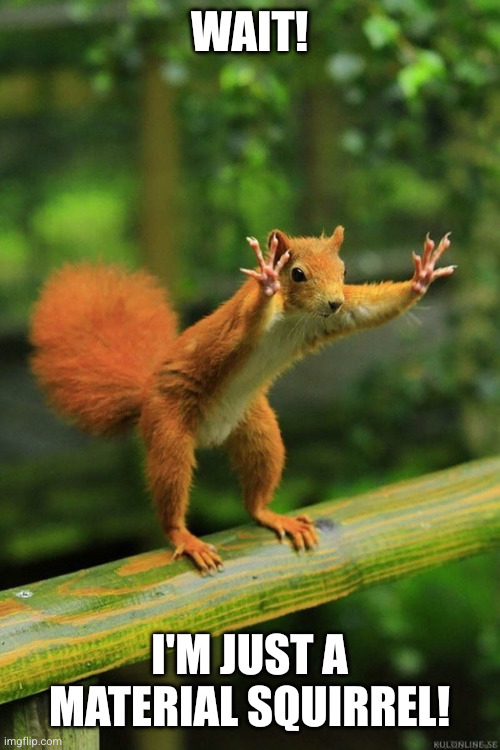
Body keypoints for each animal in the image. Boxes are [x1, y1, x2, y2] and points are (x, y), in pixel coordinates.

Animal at [30, 227, 454, 572]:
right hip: (168, 429)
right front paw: (266, 278)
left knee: (256, 493)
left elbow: (368, 309)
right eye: (296, 273)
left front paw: (422, 277)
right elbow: (247, 322)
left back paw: (271, 515)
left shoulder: (334, 318)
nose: (333, 301)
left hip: (258, 429)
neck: (294, 316)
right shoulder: (238, 326)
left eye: (345, 270)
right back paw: (184, 536)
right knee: (170, 487)